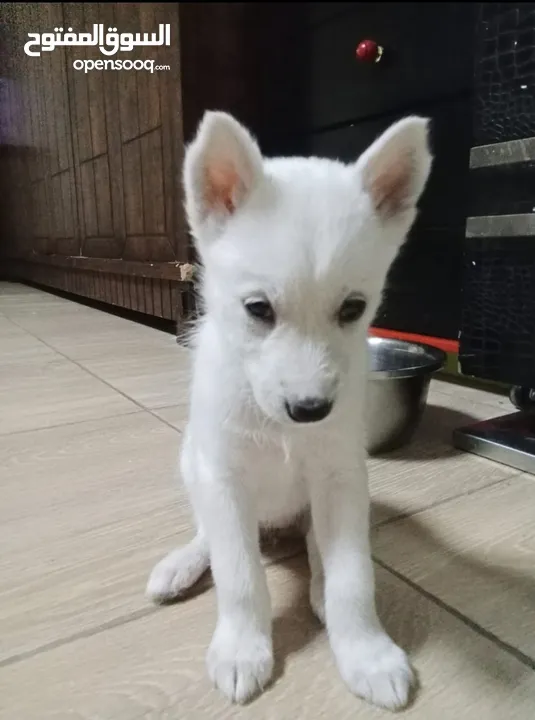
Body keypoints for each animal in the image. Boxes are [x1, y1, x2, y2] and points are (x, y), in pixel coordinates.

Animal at [149, 111, 434, 708]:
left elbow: (354, 578)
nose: (309, 409)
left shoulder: (340, 477)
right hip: (193, 466)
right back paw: (181, 564)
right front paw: (242, 647)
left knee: (317, 547)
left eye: (353, 308)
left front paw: (366, 652)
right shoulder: (222, 475)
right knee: (211, 536)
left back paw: (318, 585)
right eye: (258, 309)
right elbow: (239, 576)